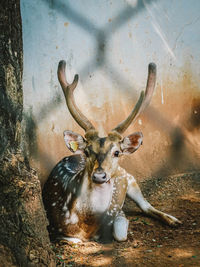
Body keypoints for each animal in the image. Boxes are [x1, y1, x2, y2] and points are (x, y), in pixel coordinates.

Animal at [42, 61, 181, 245]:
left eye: (116, 152)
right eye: (87, 151)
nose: (99, 175)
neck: (85, 224)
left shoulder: (116, 212)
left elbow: (120, 233)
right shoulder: (53, 227)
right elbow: (73, 240)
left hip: (128, 176)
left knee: (145, 205)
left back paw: (174, 220)